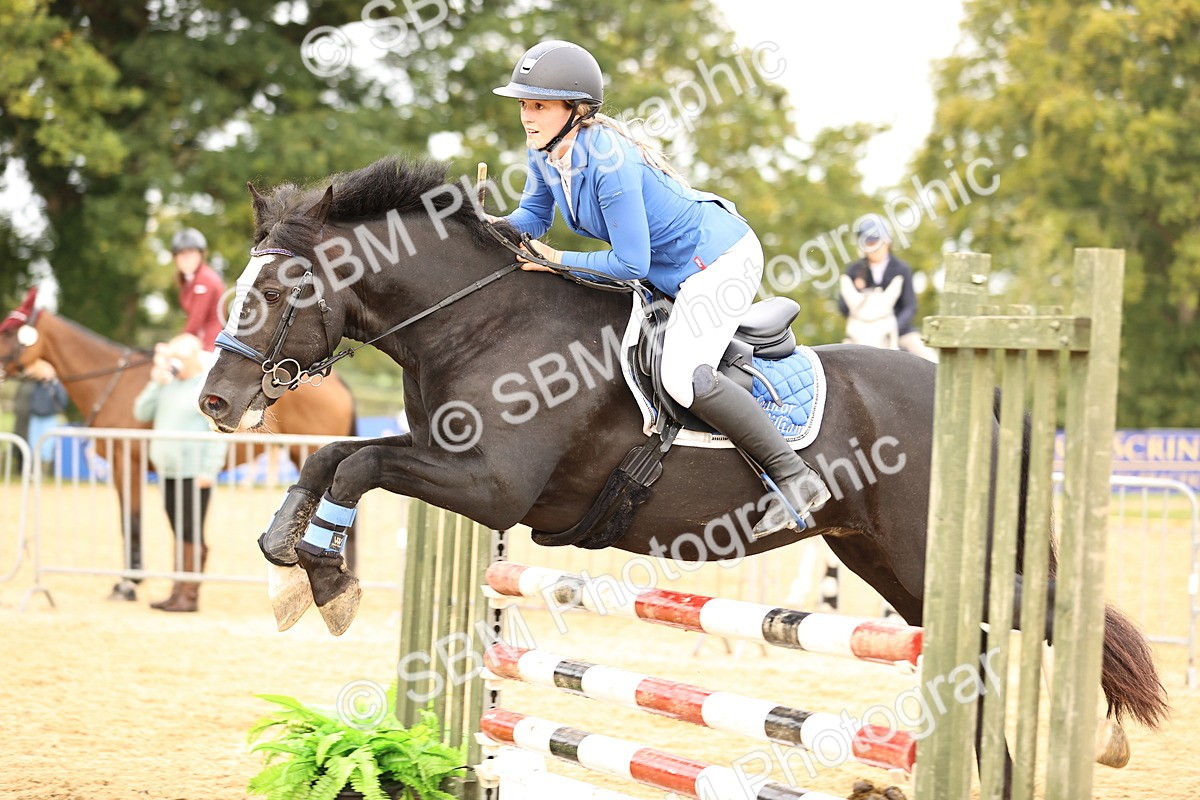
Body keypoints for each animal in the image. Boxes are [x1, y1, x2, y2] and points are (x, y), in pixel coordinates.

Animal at [197, 156, 1166, 790]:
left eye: (278, 292)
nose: (216, 401)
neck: (479, 322)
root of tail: (981, 391)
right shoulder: (451, 464)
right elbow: (334, 458)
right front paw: (291, 564)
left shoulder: (488, 485)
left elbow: (357, 463)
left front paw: (325, 579)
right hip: (892, 563)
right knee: (977, 658)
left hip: (936, 553)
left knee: (1048, 617)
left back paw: (1110, 734)